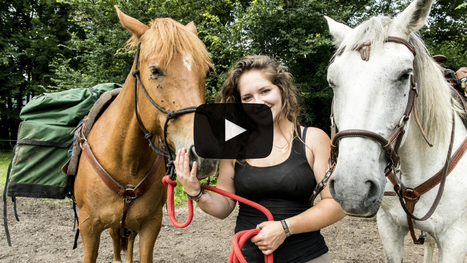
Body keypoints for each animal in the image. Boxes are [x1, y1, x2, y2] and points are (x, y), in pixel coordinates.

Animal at [74, 6, 218, 263]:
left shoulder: (151, 225)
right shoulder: (88, 227)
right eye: (155, 70)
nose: (205, 153)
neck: (125, 160)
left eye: (206, 71)